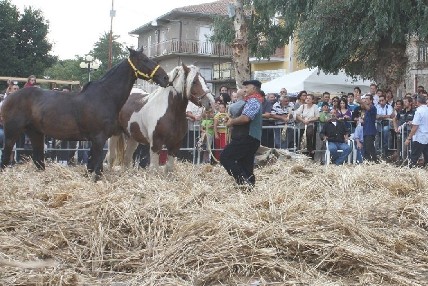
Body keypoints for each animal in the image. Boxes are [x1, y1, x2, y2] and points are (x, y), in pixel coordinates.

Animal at [0, 48, 170, 180]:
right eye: (144, 59)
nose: (165, 77)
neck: (105, 96)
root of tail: (8, 98)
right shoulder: (98, 138)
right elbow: (94, 167)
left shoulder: (99, 139)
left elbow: (94, 167)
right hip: (12, 132)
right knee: (6, 157)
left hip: (35, 133)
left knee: (38, 160)